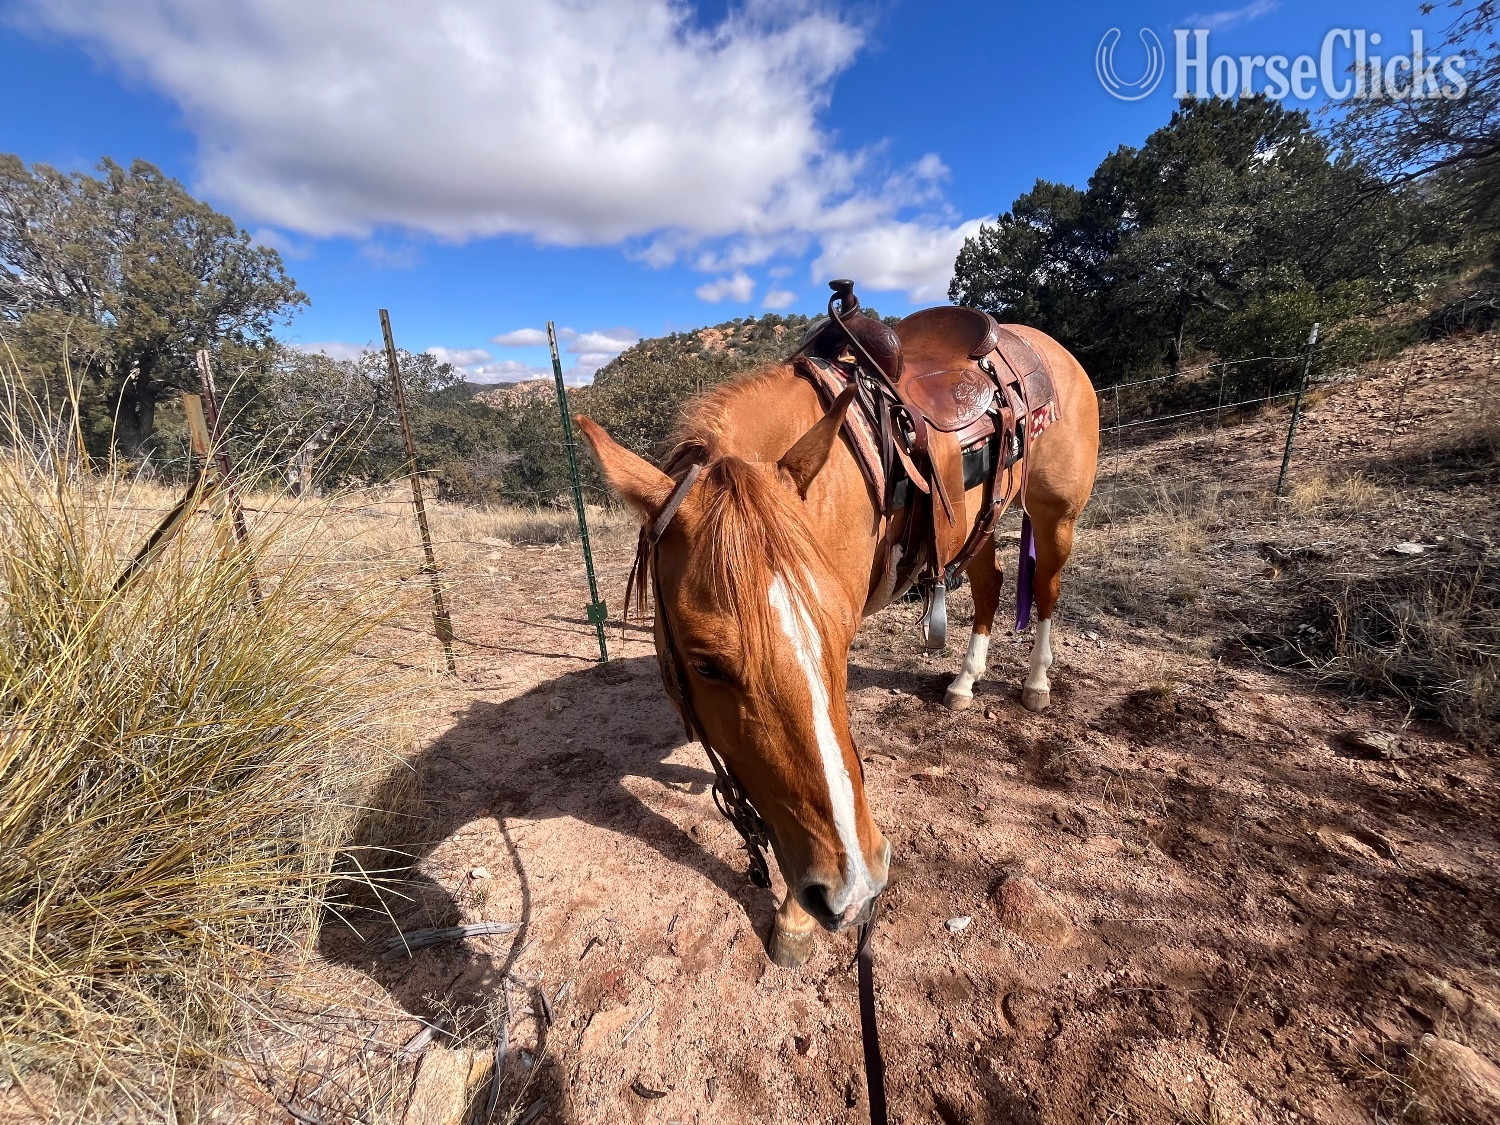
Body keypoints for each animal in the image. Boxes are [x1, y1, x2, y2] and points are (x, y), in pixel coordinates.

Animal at [576, 324, 1099, 967]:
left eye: (841, 635)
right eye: (705, 664)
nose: (856, 888)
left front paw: (796, 917)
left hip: (1055, 514)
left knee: (1046, 587)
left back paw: (1036, 682)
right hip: (978, 524)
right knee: (991, 586)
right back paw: (965, 680)